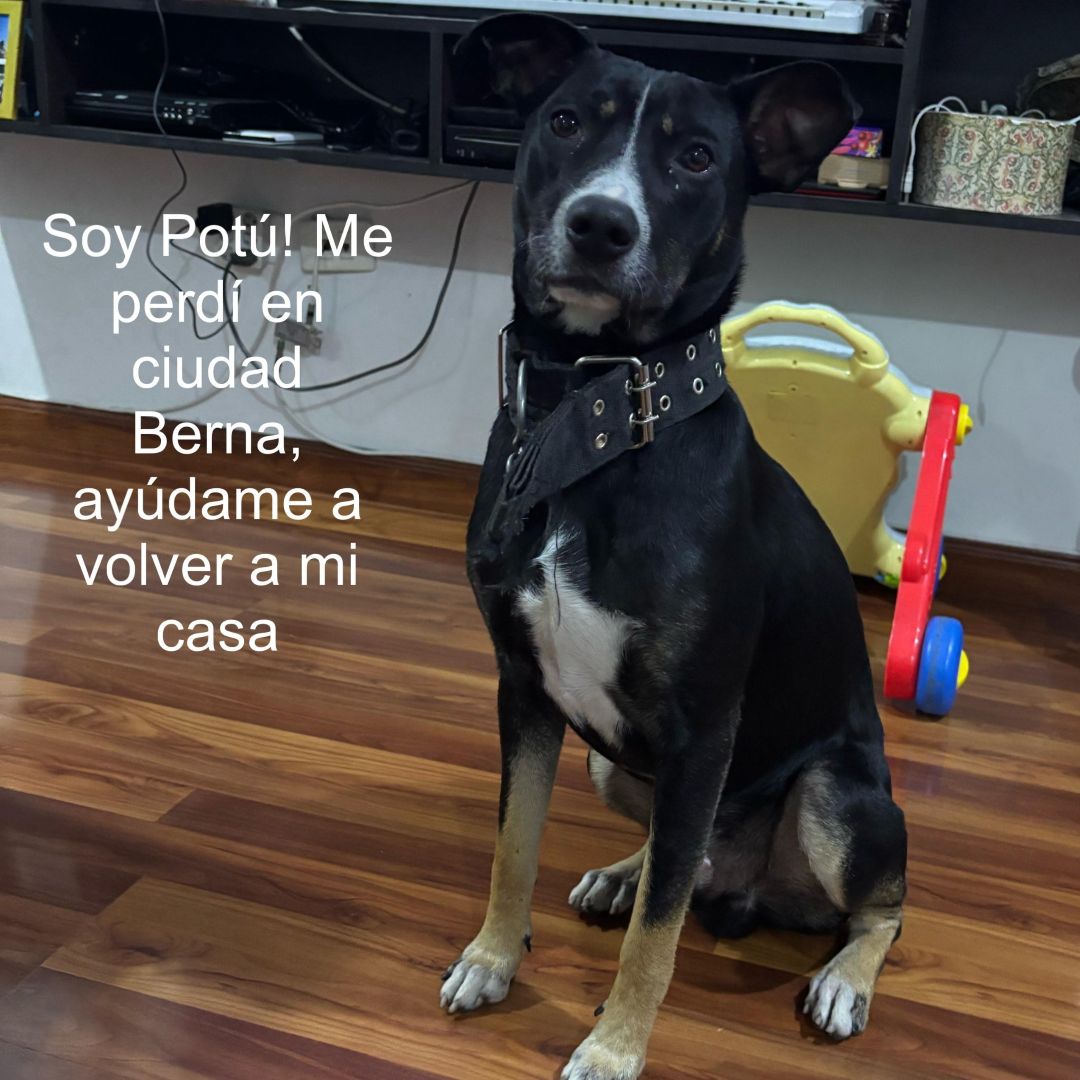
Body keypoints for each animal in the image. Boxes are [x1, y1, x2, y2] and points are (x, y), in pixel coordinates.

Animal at [441, 15, 906, 1079]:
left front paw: (614, 1048)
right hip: (619, 766)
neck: (593, 412)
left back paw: (843, 980)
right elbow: (511, 843)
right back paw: (626, 872)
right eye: (566, 122)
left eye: (696, 158)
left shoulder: (702, 727)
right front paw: (493, 956)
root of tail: (757, 891)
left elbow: (656, 943)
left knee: (879, 908)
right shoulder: (524, 689)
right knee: (678, 863)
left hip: (835, 799)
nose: (601, 227)